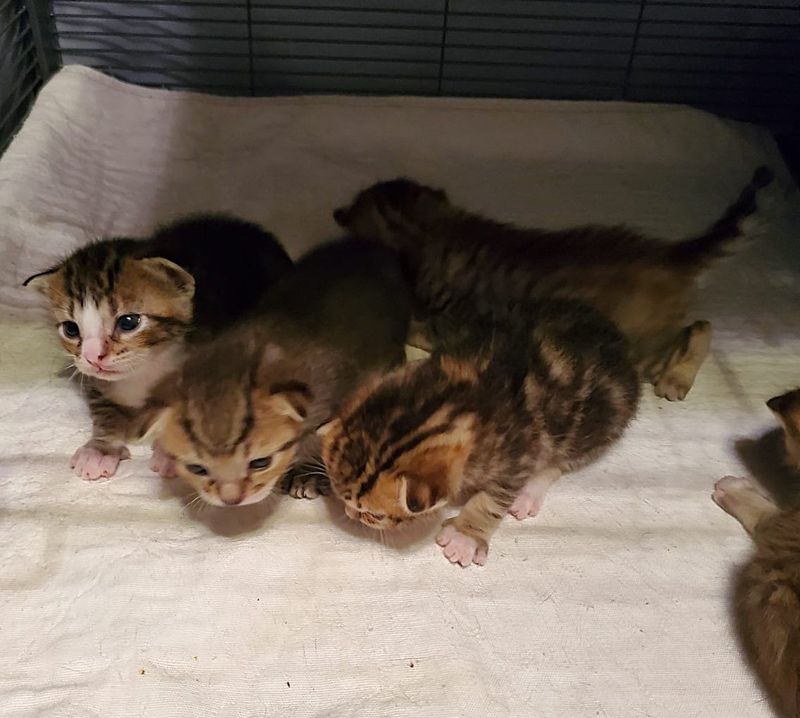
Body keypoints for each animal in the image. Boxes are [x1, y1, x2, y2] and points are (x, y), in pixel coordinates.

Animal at [24, 217, 294, 480]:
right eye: (71, 329)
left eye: (128, 322)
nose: (92, 357)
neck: (147, 368)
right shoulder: (96, 382)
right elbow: (104, 410)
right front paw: (100, 449)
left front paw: (171, 454)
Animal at [322, 298, 640, 568]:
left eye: (375, 515)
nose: (350, 514)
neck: (457, 399)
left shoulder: (517, 454)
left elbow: (491, 499)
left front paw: (465, 536)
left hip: (601, 424)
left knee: (564, 458)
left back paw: (530, 492)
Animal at [334, 169, 772, 404]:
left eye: (354, 215)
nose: (338, 212)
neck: (436, 231)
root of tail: (667, 253)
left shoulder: (443, 322)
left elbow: (413, 325)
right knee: (701, 324)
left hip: (642, 345)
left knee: (697, 332)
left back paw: (677, 379)